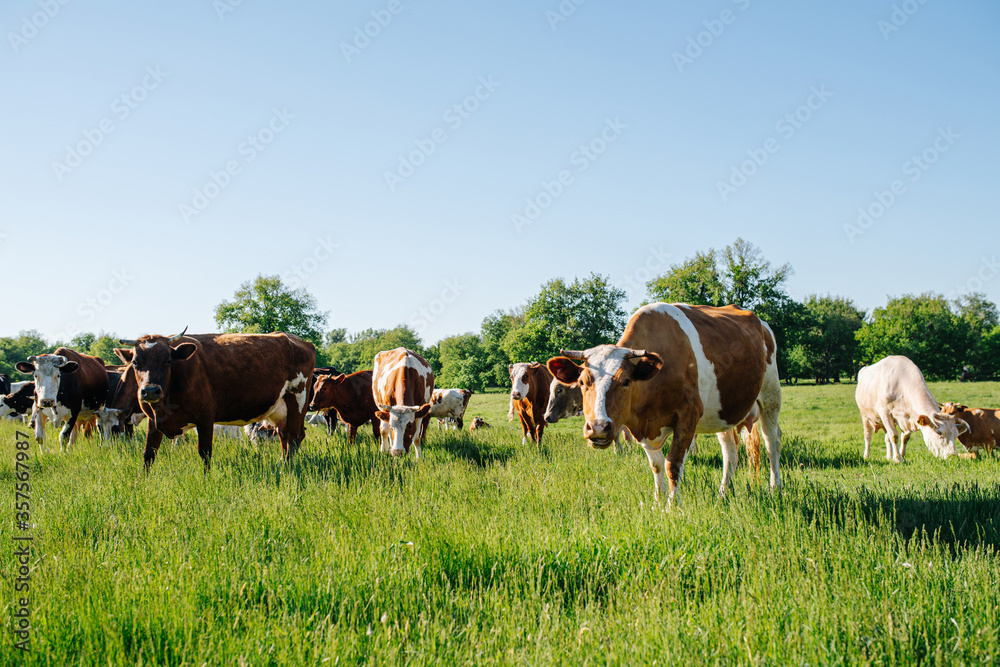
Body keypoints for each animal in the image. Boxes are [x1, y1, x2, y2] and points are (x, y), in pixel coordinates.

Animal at [116, 330, 316, 474]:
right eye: (135, 362)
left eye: (167, 360)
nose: (150, 390)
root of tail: (295, 339)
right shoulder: (154, 420)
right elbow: (149, 453)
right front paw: (143, 480)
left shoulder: (205, 416)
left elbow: (205, 452)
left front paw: (206, 480)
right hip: (280, 410)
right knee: (284, 436)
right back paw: (283, 463)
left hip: (297, 400)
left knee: (294, 437)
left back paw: (287, 468)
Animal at [544, 302, 784, 506]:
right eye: (582, 382)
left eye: (626, 381)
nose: (598, 428)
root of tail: (760, 322)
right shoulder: (643, 429)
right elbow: (656, 465)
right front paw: (658, 502)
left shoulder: (687, 418)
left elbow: (672, 465)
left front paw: (672, 505)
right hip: (723, 410)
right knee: (730, 449)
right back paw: (723, 493)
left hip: (770, 395)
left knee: (771, 441)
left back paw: (775, 487)